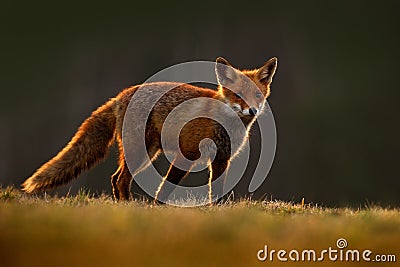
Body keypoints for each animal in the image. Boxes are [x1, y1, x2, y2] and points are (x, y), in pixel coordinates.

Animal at [21, 57, 278, 203]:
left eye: (257, 95)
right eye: (238, 95)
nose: (252, 110)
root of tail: (120, 95)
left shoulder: (221, 158)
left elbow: (217, 190)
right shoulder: (187, 153)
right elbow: (165, 186)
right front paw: (157, 209)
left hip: (148, 152)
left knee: (116, 178)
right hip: (139, 151)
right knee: (120, 179)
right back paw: (127, 207)